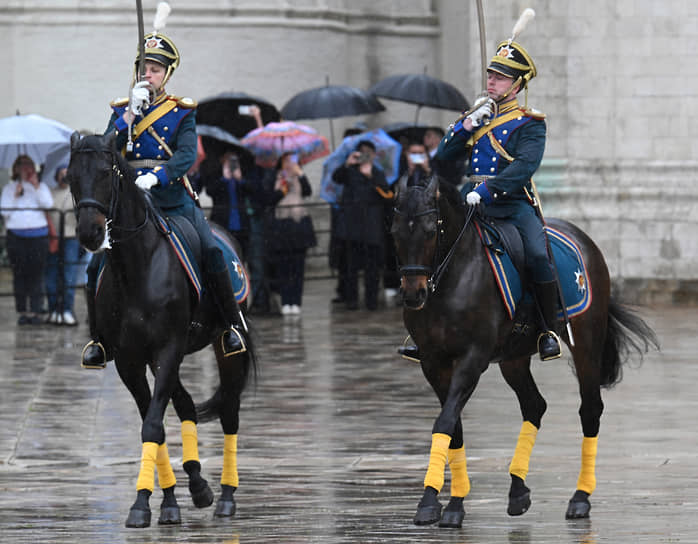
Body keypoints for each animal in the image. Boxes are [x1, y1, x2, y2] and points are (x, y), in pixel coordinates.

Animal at [65, 132, 254, 528]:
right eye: (71, 177)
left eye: (106, 172)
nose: (90, 233)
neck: (136, 265)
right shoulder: (130, 360)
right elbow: (153, 422)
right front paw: (164, 500)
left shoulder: (167, 348)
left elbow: (152, 424)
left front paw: (142, 503)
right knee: (184, 404)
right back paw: (198, 483)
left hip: (224, 345)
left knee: (229, 411)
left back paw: (227, 496)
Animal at [392, 174, 656, 528]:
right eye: (394, 232)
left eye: (431, 231)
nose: (412, 294)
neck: (452, 278)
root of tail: (583, 238)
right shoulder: (433, 362)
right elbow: (453, 427)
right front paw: (449, 502)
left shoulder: (473, 358)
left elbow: (446, 421)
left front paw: (435, 501)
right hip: (513, 357)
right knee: (534, 406)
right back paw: (518, 490)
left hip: (586, 343)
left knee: (590, 410)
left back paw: (580, 497)